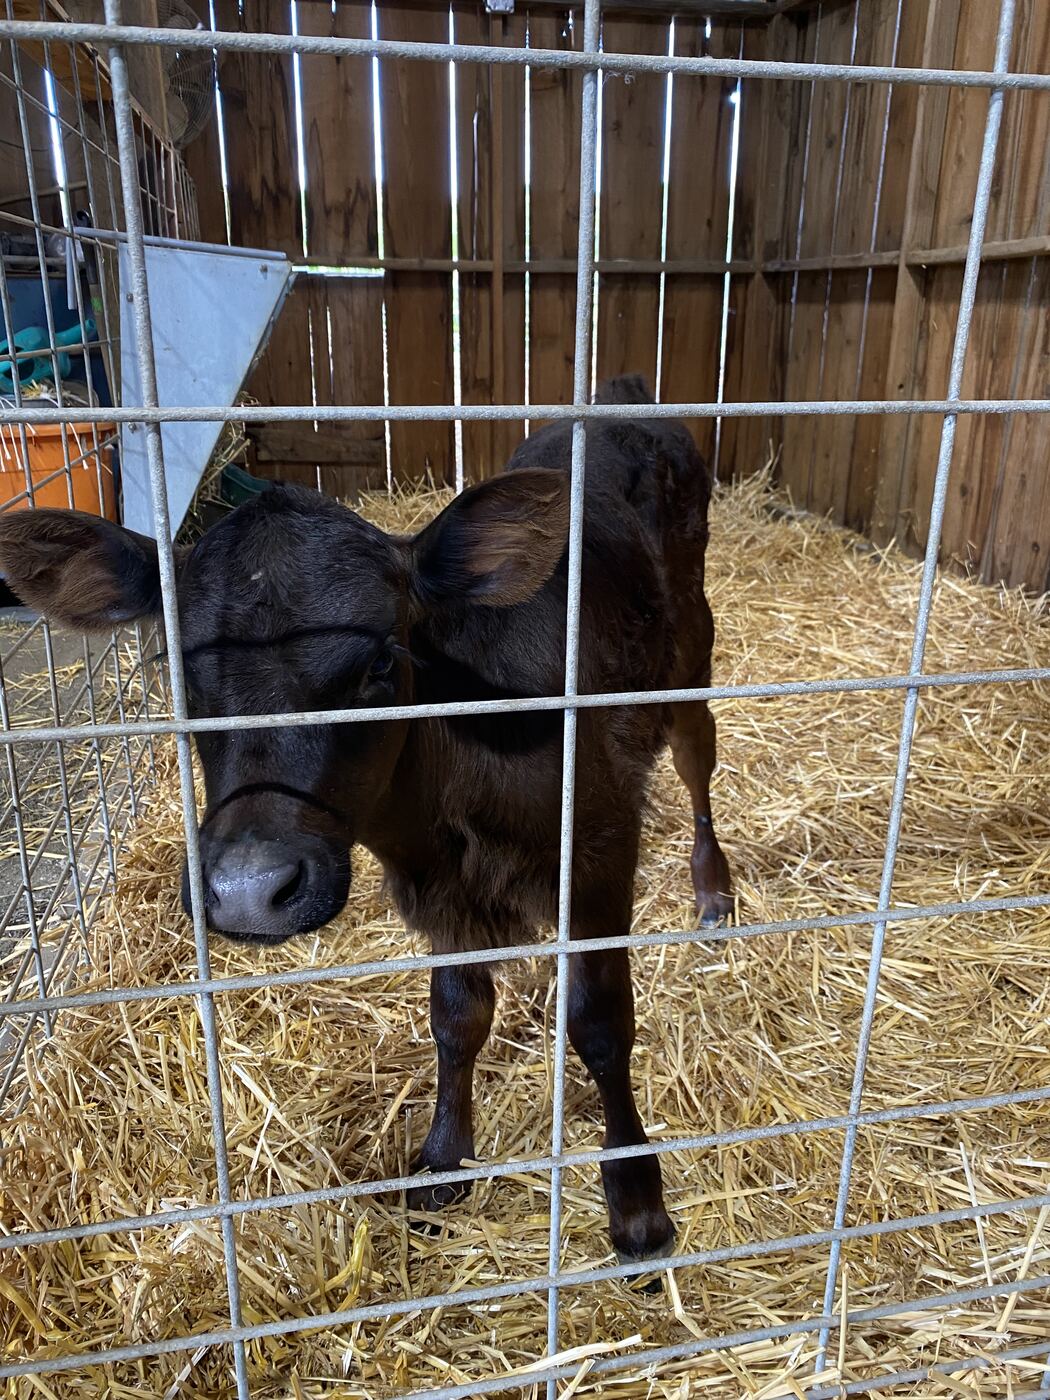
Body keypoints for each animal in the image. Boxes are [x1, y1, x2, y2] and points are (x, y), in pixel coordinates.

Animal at [0, 375, 732, 1263]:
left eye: (382, 660)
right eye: (176, 668)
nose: (249, 890)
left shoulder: (596, 847)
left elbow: (599, 1024)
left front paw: (636, 1204)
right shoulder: (446, 889)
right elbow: (456, 1019)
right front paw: (446, 1161)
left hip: (690, 651)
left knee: (697, 757)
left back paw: (713, 891)